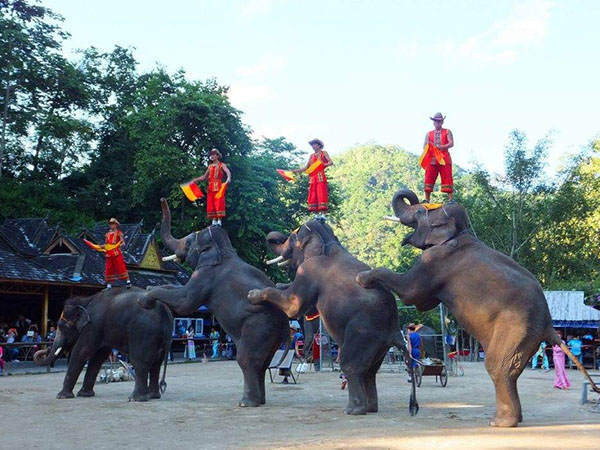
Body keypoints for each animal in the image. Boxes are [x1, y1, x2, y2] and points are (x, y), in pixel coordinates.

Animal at [34, 290, 172, 402]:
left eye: (62, 327)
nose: (45, 348)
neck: (86, 300)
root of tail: (165, 312)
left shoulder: (93, 326)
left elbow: (81, 352)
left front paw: (61, 396)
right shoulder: (102, 329)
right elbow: (98, 357)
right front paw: (85, 394)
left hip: (143, 333)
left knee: (139, 361)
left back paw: (135, 399)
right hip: (159, 338)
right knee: (156, 364)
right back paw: (153, 396)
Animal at [141, 200, 290, 408]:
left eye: (189, 242)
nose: (163, 199)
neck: (224, 250)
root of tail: (286, 324)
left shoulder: (206, 276)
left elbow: (185, 302)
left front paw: (145, 298)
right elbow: (178, 292)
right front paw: (148, 287)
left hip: (259, 327)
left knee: (247, 359)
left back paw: (246, 403)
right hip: (271, 334)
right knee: (263, 363)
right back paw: (259, 401)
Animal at [245, 220, 418, 416]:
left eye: (292, 237)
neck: (328, 241)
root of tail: (395, 331)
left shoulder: (309, 270)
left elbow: (293, 306)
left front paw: (252, 295)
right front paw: (278, 284)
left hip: (363, 334)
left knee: (351, 366)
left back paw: (353, 410)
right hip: (379, 345)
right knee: (370, 372)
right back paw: (371, 408)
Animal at [356, 188, 600, 428]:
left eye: (418, 213)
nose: (420, 197)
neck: (460, 232)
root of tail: (548, 323)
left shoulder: (435, 260)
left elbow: (410, 293)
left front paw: (362, 278)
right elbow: (424, 302)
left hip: (517, 327)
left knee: (497, 366)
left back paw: (499, 423)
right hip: (528, 336)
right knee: (513, 371)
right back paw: (514, 418)